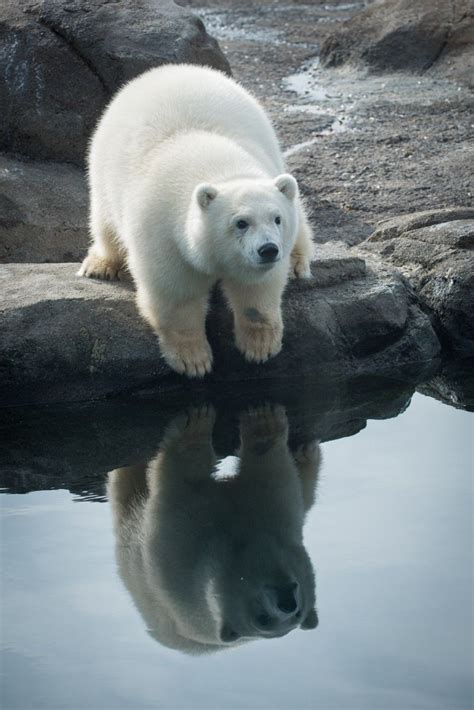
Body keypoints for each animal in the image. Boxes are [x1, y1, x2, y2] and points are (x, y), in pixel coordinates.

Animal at [78, 64, 314, 378]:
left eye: (276, 219)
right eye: (241, 222)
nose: (268, 250)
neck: (214, 164)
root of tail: (170, 68)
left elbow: (256, 289)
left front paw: (260, 346)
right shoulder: (163, 233)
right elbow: (176, 295)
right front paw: (194, 360)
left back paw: (299, 262)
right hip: (103, 170)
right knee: (104, 222)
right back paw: (100, 265)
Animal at [107, 406, 322, 656]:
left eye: (298, 614)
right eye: (262, 618)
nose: (287, 603)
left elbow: (280, 482)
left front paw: (267, 428)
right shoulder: (181, 551)